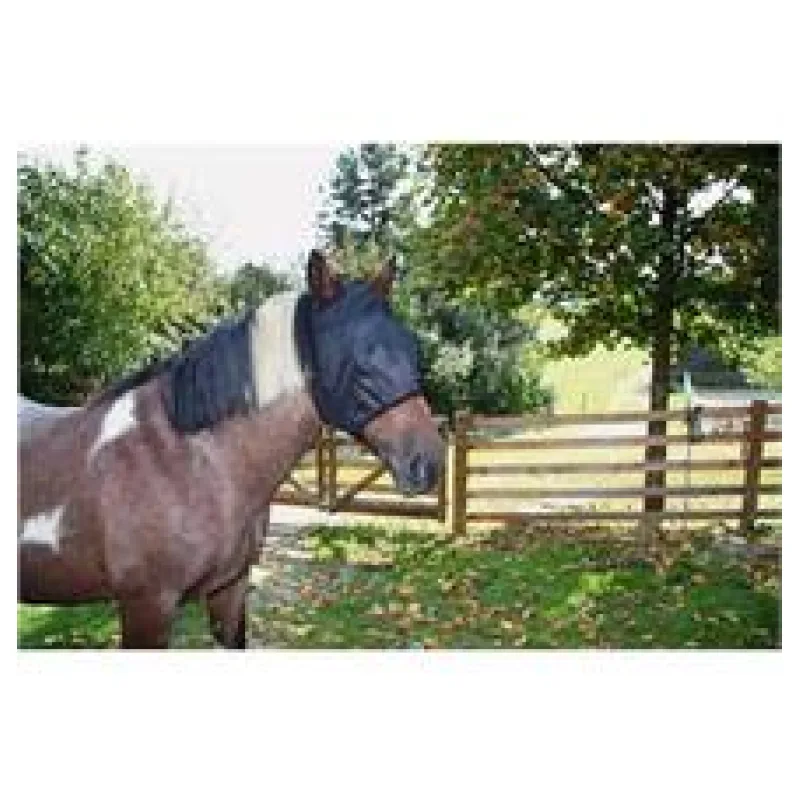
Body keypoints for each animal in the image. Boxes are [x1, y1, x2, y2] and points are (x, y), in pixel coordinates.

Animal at [18, 250, 445, 648]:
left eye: (410, 347)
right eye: (356, 357)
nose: (428, 464)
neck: (188, 461)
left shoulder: (230, 588)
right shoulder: (147, 606)